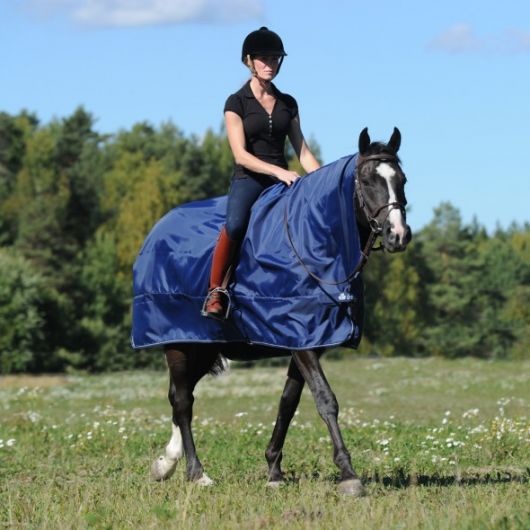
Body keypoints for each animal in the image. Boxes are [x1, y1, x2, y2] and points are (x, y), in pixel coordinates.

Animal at [140, 128, 408, 496]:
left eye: (402, 180)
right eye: (367, 180)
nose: (399, 235)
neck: (312, 240)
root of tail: (156, 233)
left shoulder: (306, 341)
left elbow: (288, 402)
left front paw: (274, 470)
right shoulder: (301, 339)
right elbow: (326, 399)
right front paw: (348, 474)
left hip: (202, 347)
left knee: (180, 396)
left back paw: (166, 462)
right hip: (178, 343)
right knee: (182, 402)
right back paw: (196, 472)